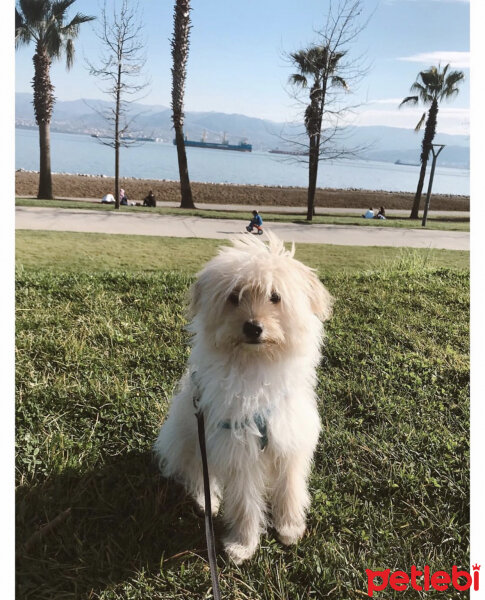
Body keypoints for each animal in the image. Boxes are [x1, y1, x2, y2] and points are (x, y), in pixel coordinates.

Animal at [155, 232, 332, 564]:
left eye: (275, 297)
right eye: (234, 297)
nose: (253, 327)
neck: (255, 363)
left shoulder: (289, 437)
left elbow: (290, 489)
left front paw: (289, 528)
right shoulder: (238, 449)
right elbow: (245, 502)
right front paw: (243, 545)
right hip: (190, 439)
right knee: (197, 473)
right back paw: (207, 502)